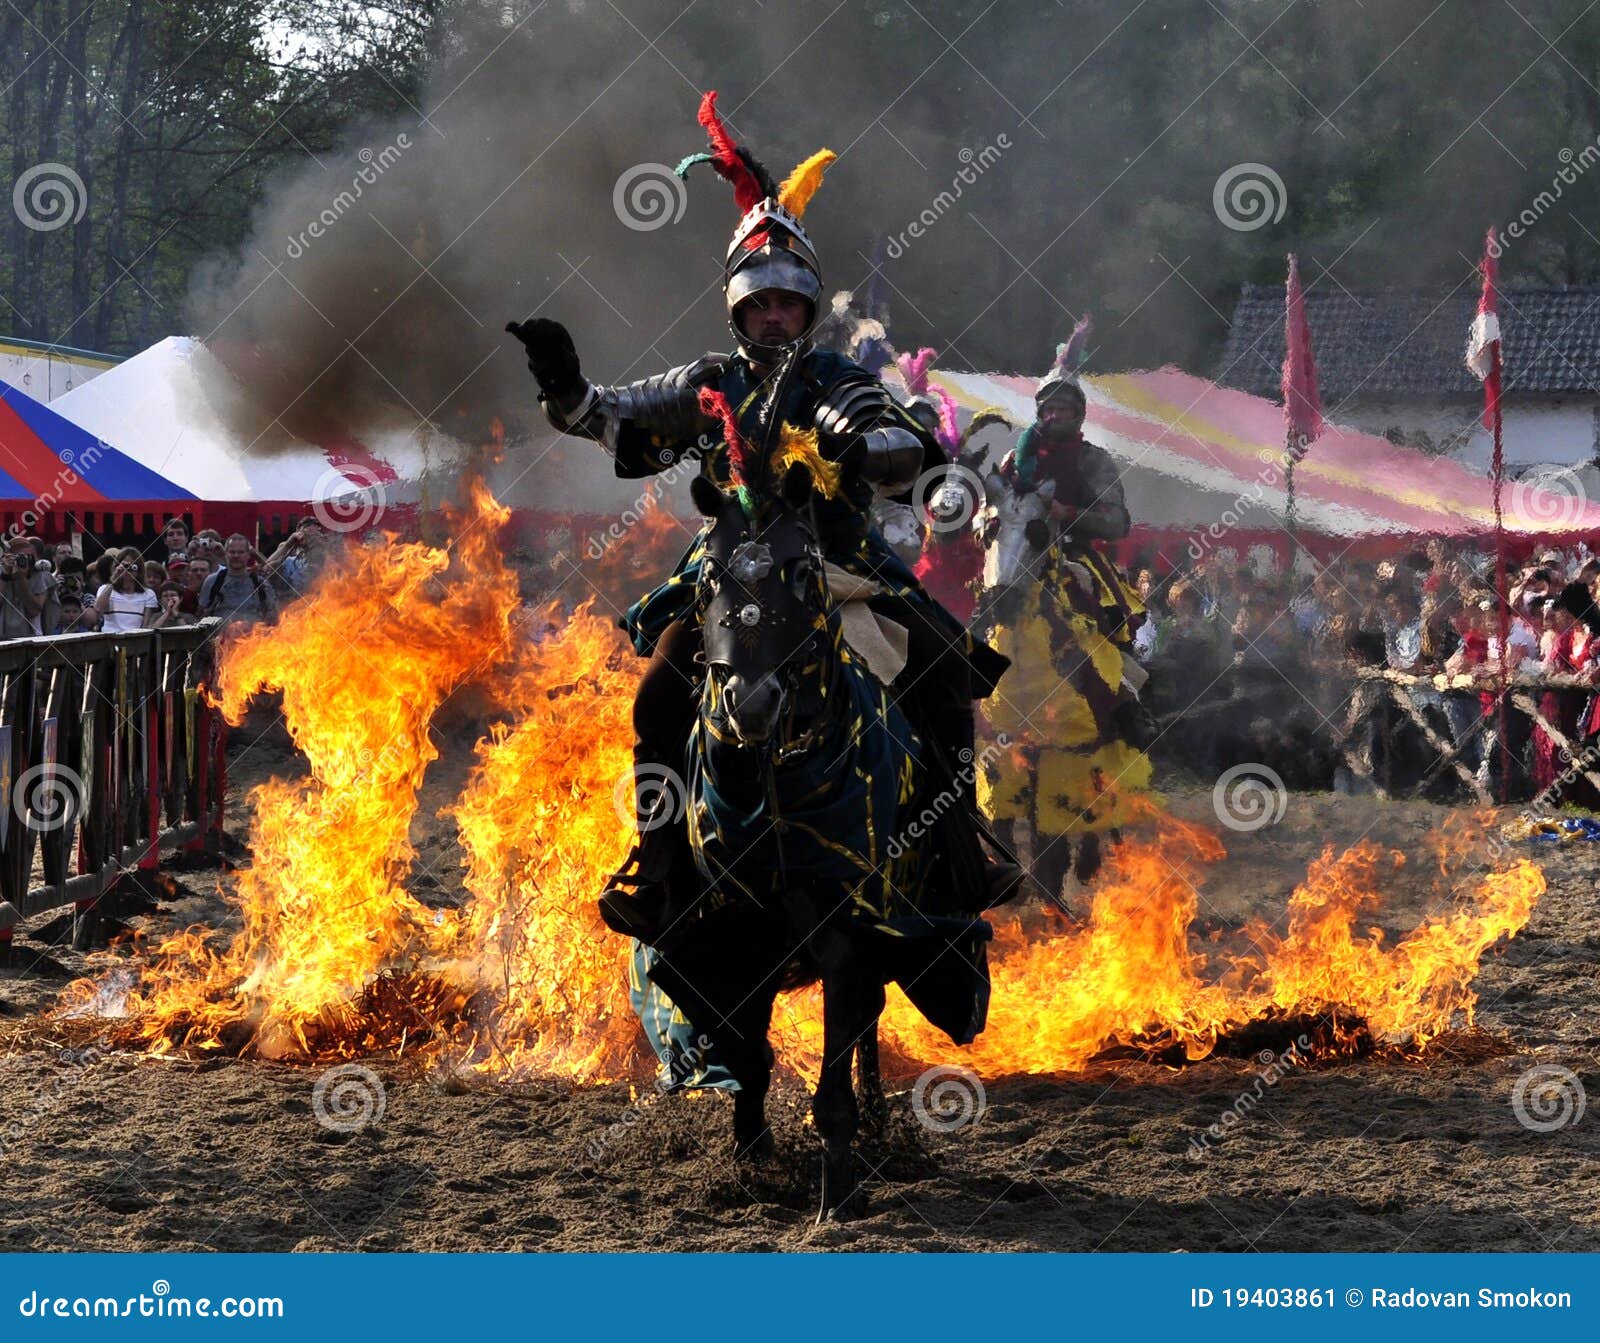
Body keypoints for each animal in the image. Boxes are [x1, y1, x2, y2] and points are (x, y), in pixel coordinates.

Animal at [640, 464, 992, 1229]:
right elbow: (748, 1051)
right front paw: (752, 1161)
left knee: (868, 1018)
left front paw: (838, 1191)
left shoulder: (845, 926)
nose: (750, 702)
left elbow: (834, 1066)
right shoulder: (739, 927)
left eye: (802, 571)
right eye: (709, 575)